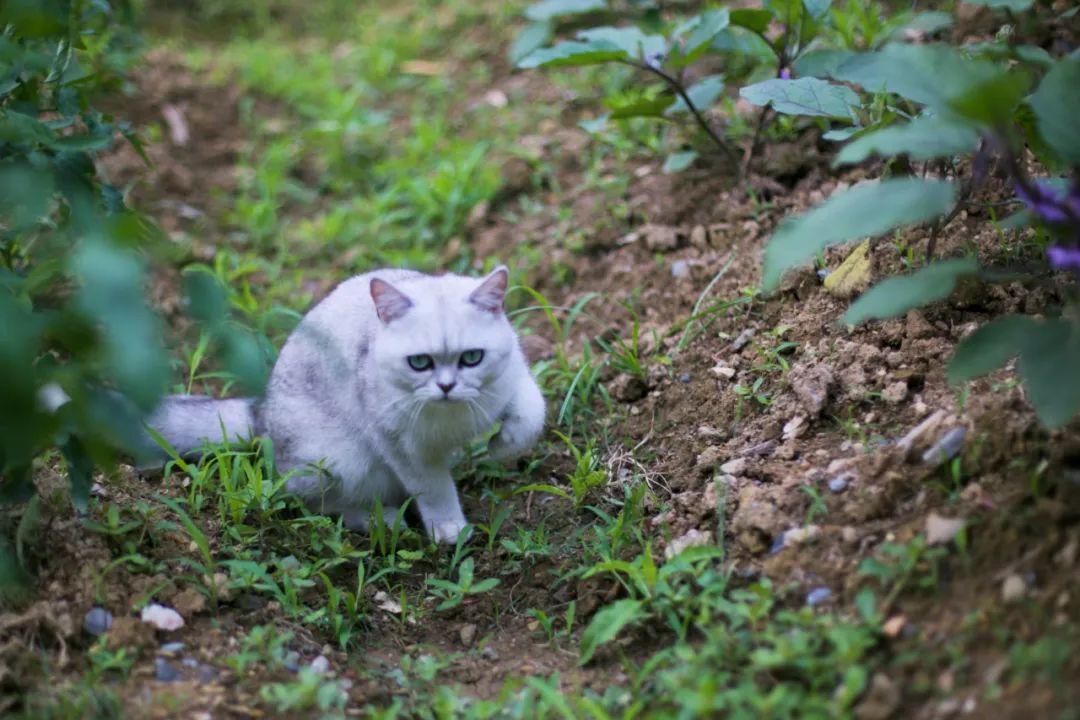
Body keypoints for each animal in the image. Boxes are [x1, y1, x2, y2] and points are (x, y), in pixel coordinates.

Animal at [144, 267, 548, 544]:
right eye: (419, 363)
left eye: (472, 358)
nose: (447, 386)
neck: (452, 415)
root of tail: (261, 415)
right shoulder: (400, 445)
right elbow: (433, 488)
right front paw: (449, 528)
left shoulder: (514, 375)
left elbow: (532, 415)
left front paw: (501, 445)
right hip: (340, 462)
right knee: (315, 503)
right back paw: (380, 518)